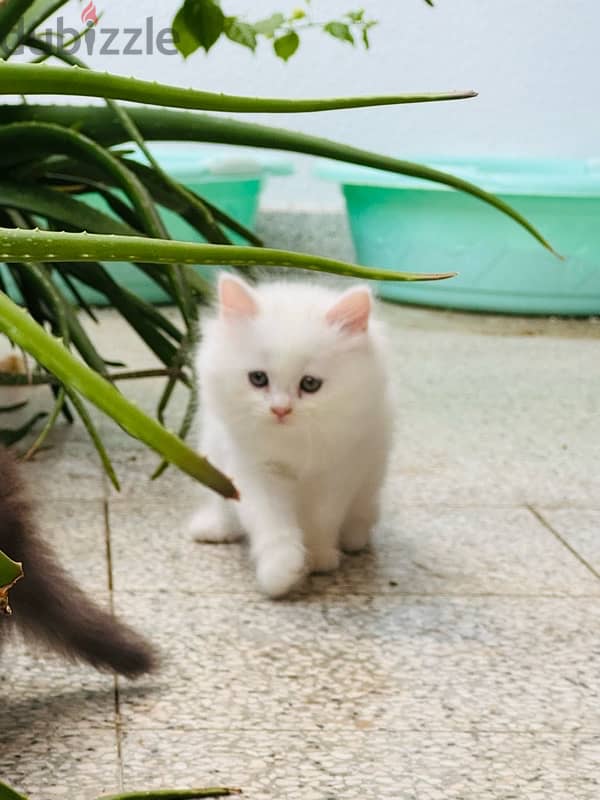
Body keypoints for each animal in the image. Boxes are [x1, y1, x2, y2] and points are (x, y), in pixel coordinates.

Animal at [189, 272, 394, 596]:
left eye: (310, 384)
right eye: (258, 379)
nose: (280, 410)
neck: (293, 443)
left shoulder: (339, 470)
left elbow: (323, 520)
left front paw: (319, 558)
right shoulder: (253, 470)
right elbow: (271, 523)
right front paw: (281, 573)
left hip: (371, 477)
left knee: (364, 513)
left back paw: (353, 538)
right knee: (223, 508)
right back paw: (214, 529)